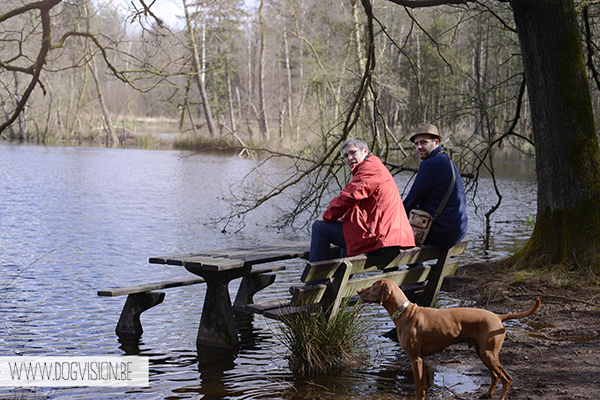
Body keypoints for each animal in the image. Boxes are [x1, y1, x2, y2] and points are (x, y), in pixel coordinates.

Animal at [358, 280, 540, 398]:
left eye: (373, 286)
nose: (358, 291)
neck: (404, 312)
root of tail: (498, 316)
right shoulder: (421, 359)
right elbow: (423, 386)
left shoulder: (415, 358)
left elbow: (417, 386)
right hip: (482, 353)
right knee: (495, 377)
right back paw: (486, 394)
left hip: (488, 354)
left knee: (506, 379)